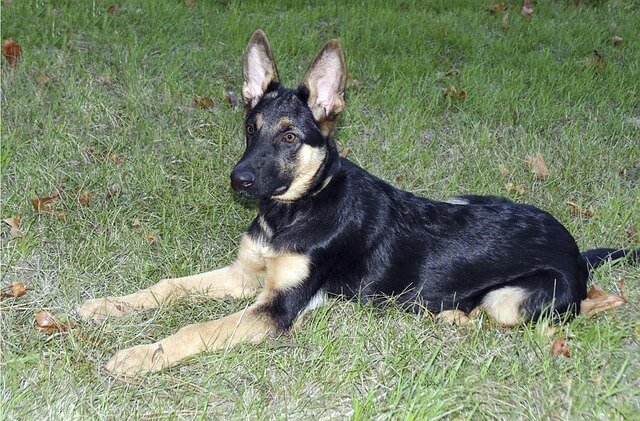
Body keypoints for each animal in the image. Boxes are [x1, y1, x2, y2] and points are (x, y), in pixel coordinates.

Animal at [80, 28, 636, 374]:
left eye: (289, 136)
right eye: (251, 128)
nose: (239, 181)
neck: (297, 209)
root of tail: (573, 247)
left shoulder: (276, 308)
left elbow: (195, 327)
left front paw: (142, 355)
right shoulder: (247, 275)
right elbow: (169, 287)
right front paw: (110, 305)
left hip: (514, 300)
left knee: (544, 310)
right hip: (462, 201)